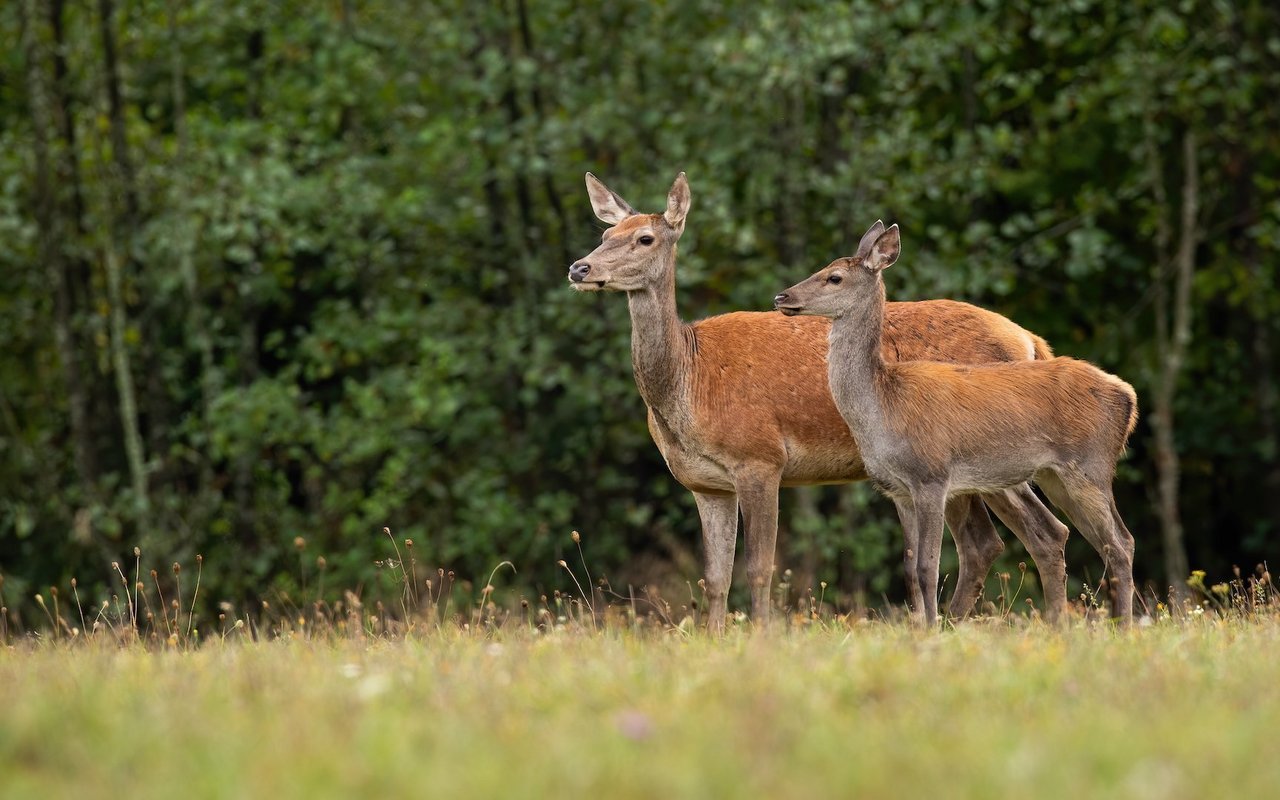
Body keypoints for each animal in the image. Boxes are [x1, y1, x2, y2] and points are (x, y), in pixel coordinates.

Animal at [568, 172, 1070, 629]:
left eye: (645, 238)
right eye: (605, 235)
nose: (579, 268)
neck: (689, 385)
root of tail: (1030, 340)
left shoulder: (760, 458)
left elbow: (759, 568)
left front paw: (761, 639)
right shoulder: (706, 485)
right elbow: (715, 578)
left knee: (1020, 536)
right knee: (1001, 540)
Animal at [768, 220, 1141, 624]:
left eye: (834, 277)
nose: (782, 296)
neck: (883, 406)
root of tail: (1129, 396)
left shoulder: (932, 476)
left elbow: (927, 568)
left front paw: (932, 627)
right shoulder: (899, 489)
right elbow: (910, 568)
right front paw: (921, 626)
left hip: (1089, 466)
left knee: (1120, 542)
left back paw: (1124, 627)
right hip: (1053, 475)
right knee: (1093, 538)